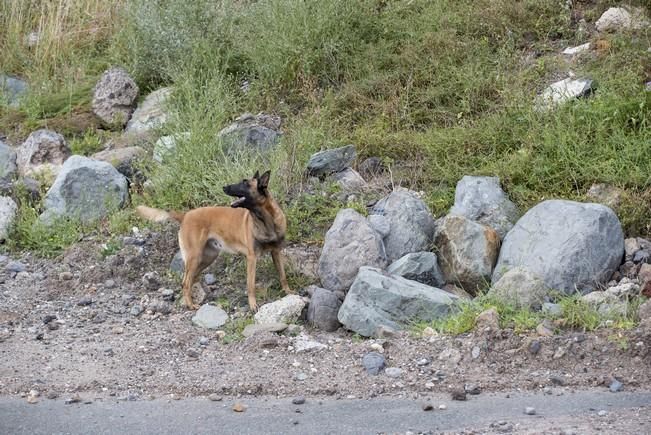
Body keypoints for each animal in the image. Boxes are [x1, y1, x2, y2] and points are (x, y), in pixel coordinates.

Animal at [135, 169, 292, 312]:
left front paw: (288, 292)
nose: (224, 187)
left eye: (245, 183)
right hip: (195, 257)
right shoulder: (251, 258)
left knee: (190, 279)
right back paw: (190, 304)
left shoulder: (276, 252)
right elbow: (250, 285)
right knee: (185, 282)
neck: (266, 220)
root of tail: (185, 215)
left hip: (207, 258)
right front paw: (253, 305)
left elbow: (282, 275)